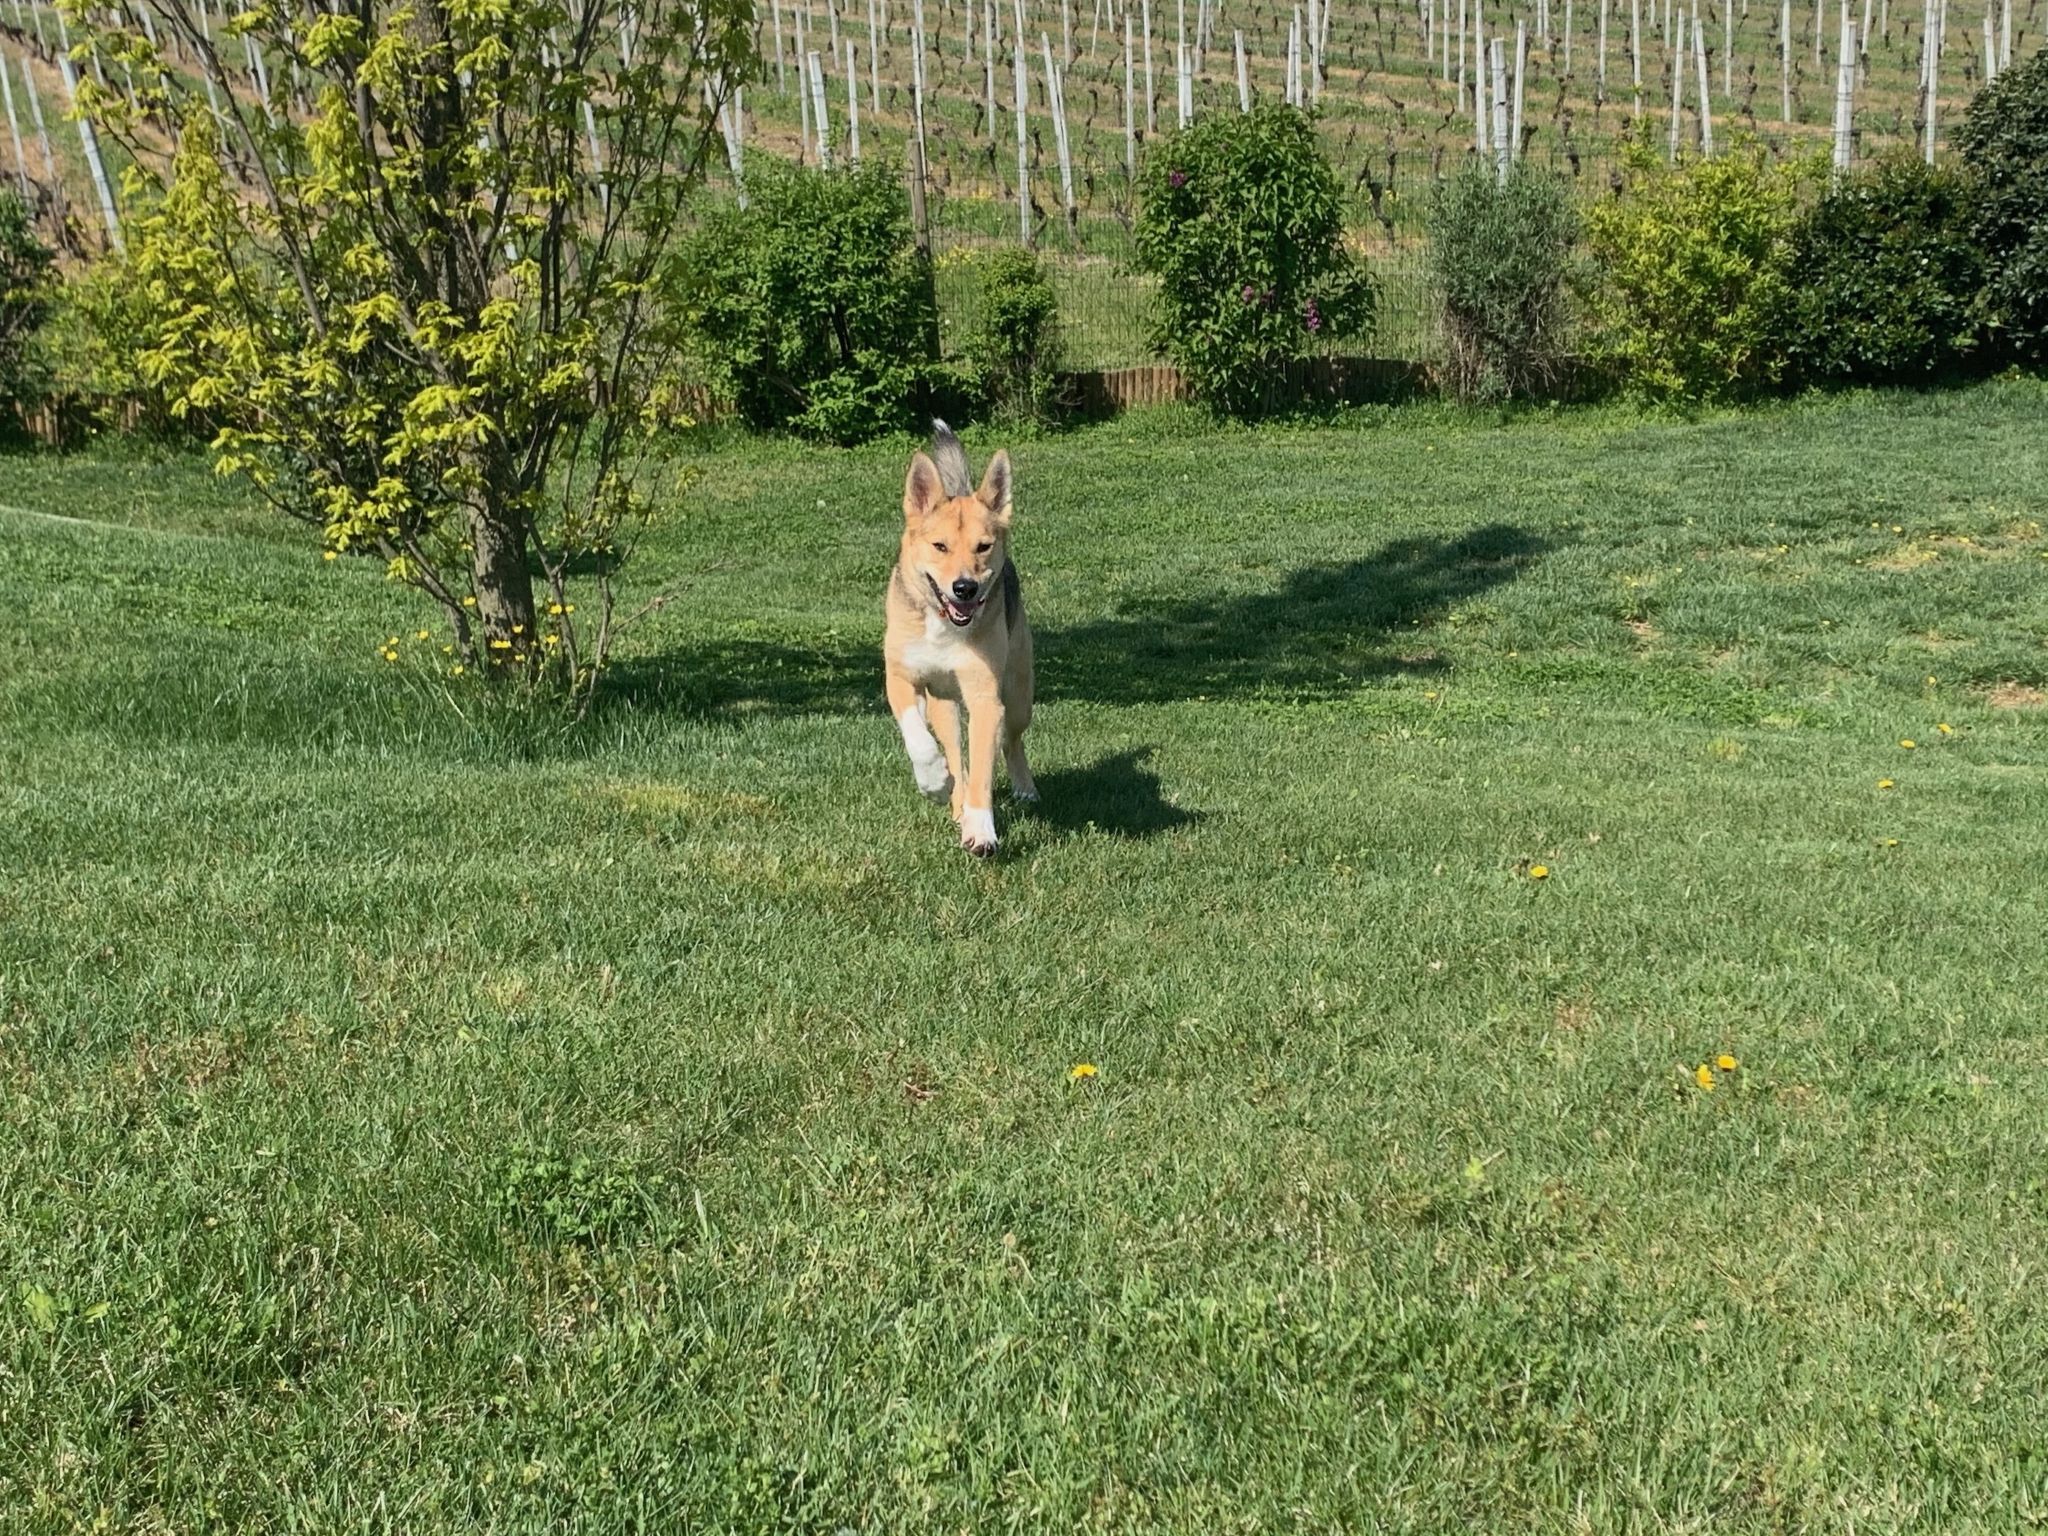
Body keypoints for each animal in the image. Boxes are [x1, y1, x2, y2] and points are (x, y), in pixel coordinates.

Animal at [884, 423, 1032, 856]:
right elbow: (917, 734)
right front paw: (934, 781)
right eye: (940, 546)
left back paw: (1023, 788)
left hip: (1019, 691)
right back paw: (952, 795)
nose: (964, 588)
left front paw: (981, 832)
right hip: (944, 705)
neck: (944, 628)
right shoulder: (900, 676)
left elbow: (983, 766)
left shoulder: (984, 695)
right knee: (952, 748)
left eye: (983, 546)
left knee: (1011, 739)